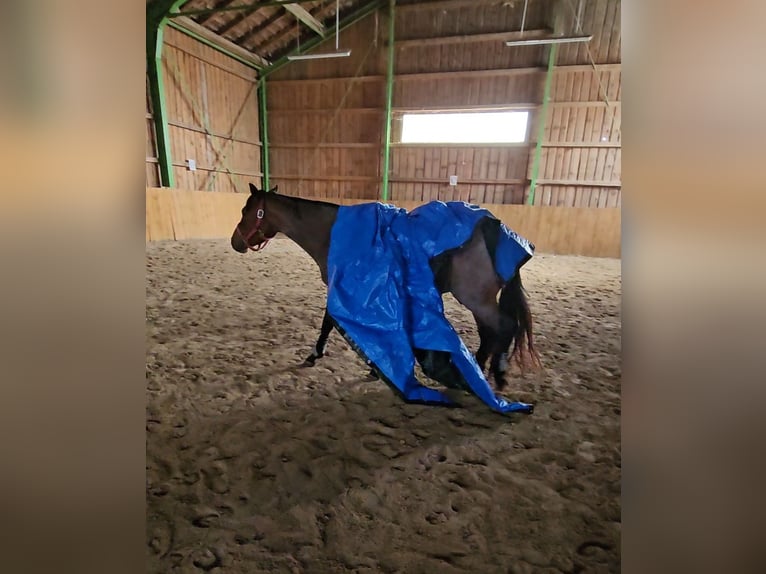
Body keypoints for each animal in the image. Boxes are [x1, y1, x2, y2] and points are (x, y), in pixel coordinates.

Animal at [231, 183, 540, 392]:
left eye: (247, 210)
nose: (235, 242)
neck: (336, 234)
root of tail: (492, 227)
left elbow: (330, 322)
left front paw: (317, 355)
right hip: (479, 301)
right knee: (490, 333)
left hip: (477, 299)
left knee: (504, 327)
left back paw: (497, 374)